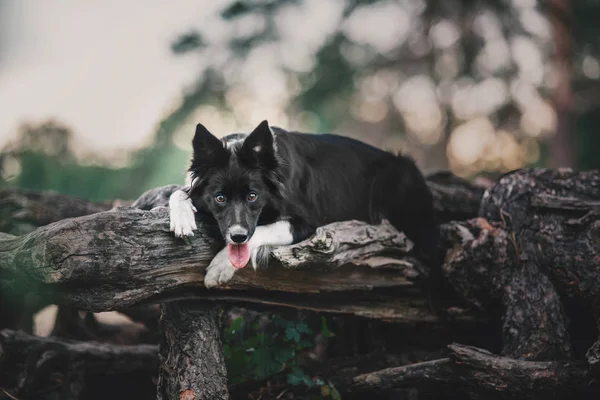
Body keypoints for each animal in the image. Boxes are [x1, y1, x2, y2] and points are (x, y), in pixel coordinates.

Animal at [168, 120, 436, 290]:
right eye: (220, 198)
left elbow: (263, 229)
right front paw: (182, 218)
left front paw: (221, 265)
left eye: (253, 196)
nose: (238, 236)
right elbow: (177, 192)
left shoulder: (308, 222)